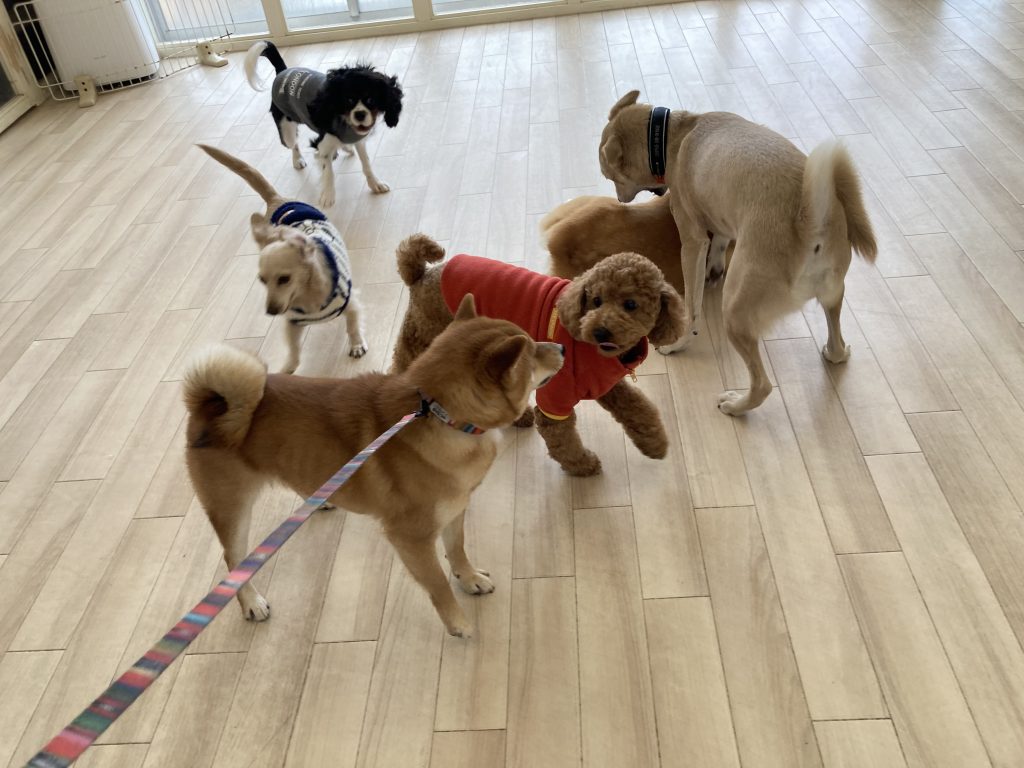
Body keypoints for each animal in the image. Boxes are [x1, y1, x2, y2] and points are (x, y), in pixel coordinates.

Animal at [184, 296, 564, 637]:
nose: (560, 346)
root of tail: (211, 404)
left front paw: (469, 578)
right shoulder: (410, 538)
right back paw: (251, 602)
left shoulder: (455, 510)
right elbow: (437, 583)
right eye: (532, 351)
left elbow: (457, 549)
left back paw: (321, 499)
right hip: (232, 508)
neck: (441, 416)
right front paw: (457, 622)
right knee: (233, 560)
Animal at [197, 143, 366, 373]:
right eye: (262, 280)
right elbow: (294, 352)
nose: (271, 311)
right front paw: (286, 370)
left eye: (284, 279)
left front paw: (357, 345)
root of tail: (277, 199)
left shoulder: (352, 305)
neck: (308, 297)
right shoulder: (292, 324)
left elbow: (353, 326)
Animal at [244, 40, 403, 208]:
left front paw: (375, 184)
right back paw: (298, 159)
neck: (345, 123)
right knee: (294, 143)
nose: (360, 114)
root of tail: (283, 71)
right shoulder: (324, 141)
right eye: (348, 100)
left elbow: (366, 164)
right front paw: (328, 195)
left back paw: (345, 148)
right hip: (286, 130)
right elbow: (328, 171)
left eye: (371, 100)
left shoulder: (359, 141)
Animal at [391, 235, 685, 476]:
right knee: (402, 366)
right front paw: (582, 465)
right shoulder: (556, 398)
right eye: (596, 300)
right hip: (426, 337)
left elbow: (638, 408)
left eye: (631, 304)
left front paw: (655, 444)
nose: (599, 330)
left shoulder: (606, 385)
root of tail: (421, 274)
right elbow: (562, 439)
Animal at [598, 90, 877, 415]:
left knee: (762, 385)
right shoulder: (720, 219)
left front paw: (681, 334)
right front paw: (714, 268)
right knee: (836, 344)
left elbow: (692, 305)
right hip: (834, 292)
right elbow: (719, 241)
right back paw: (835, 352)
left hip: (735, 311)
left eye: (612, 177)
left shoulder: (692, 239)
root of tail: (809, 224)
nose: (620, 199)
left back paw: (733, 402)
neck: (672, 135)